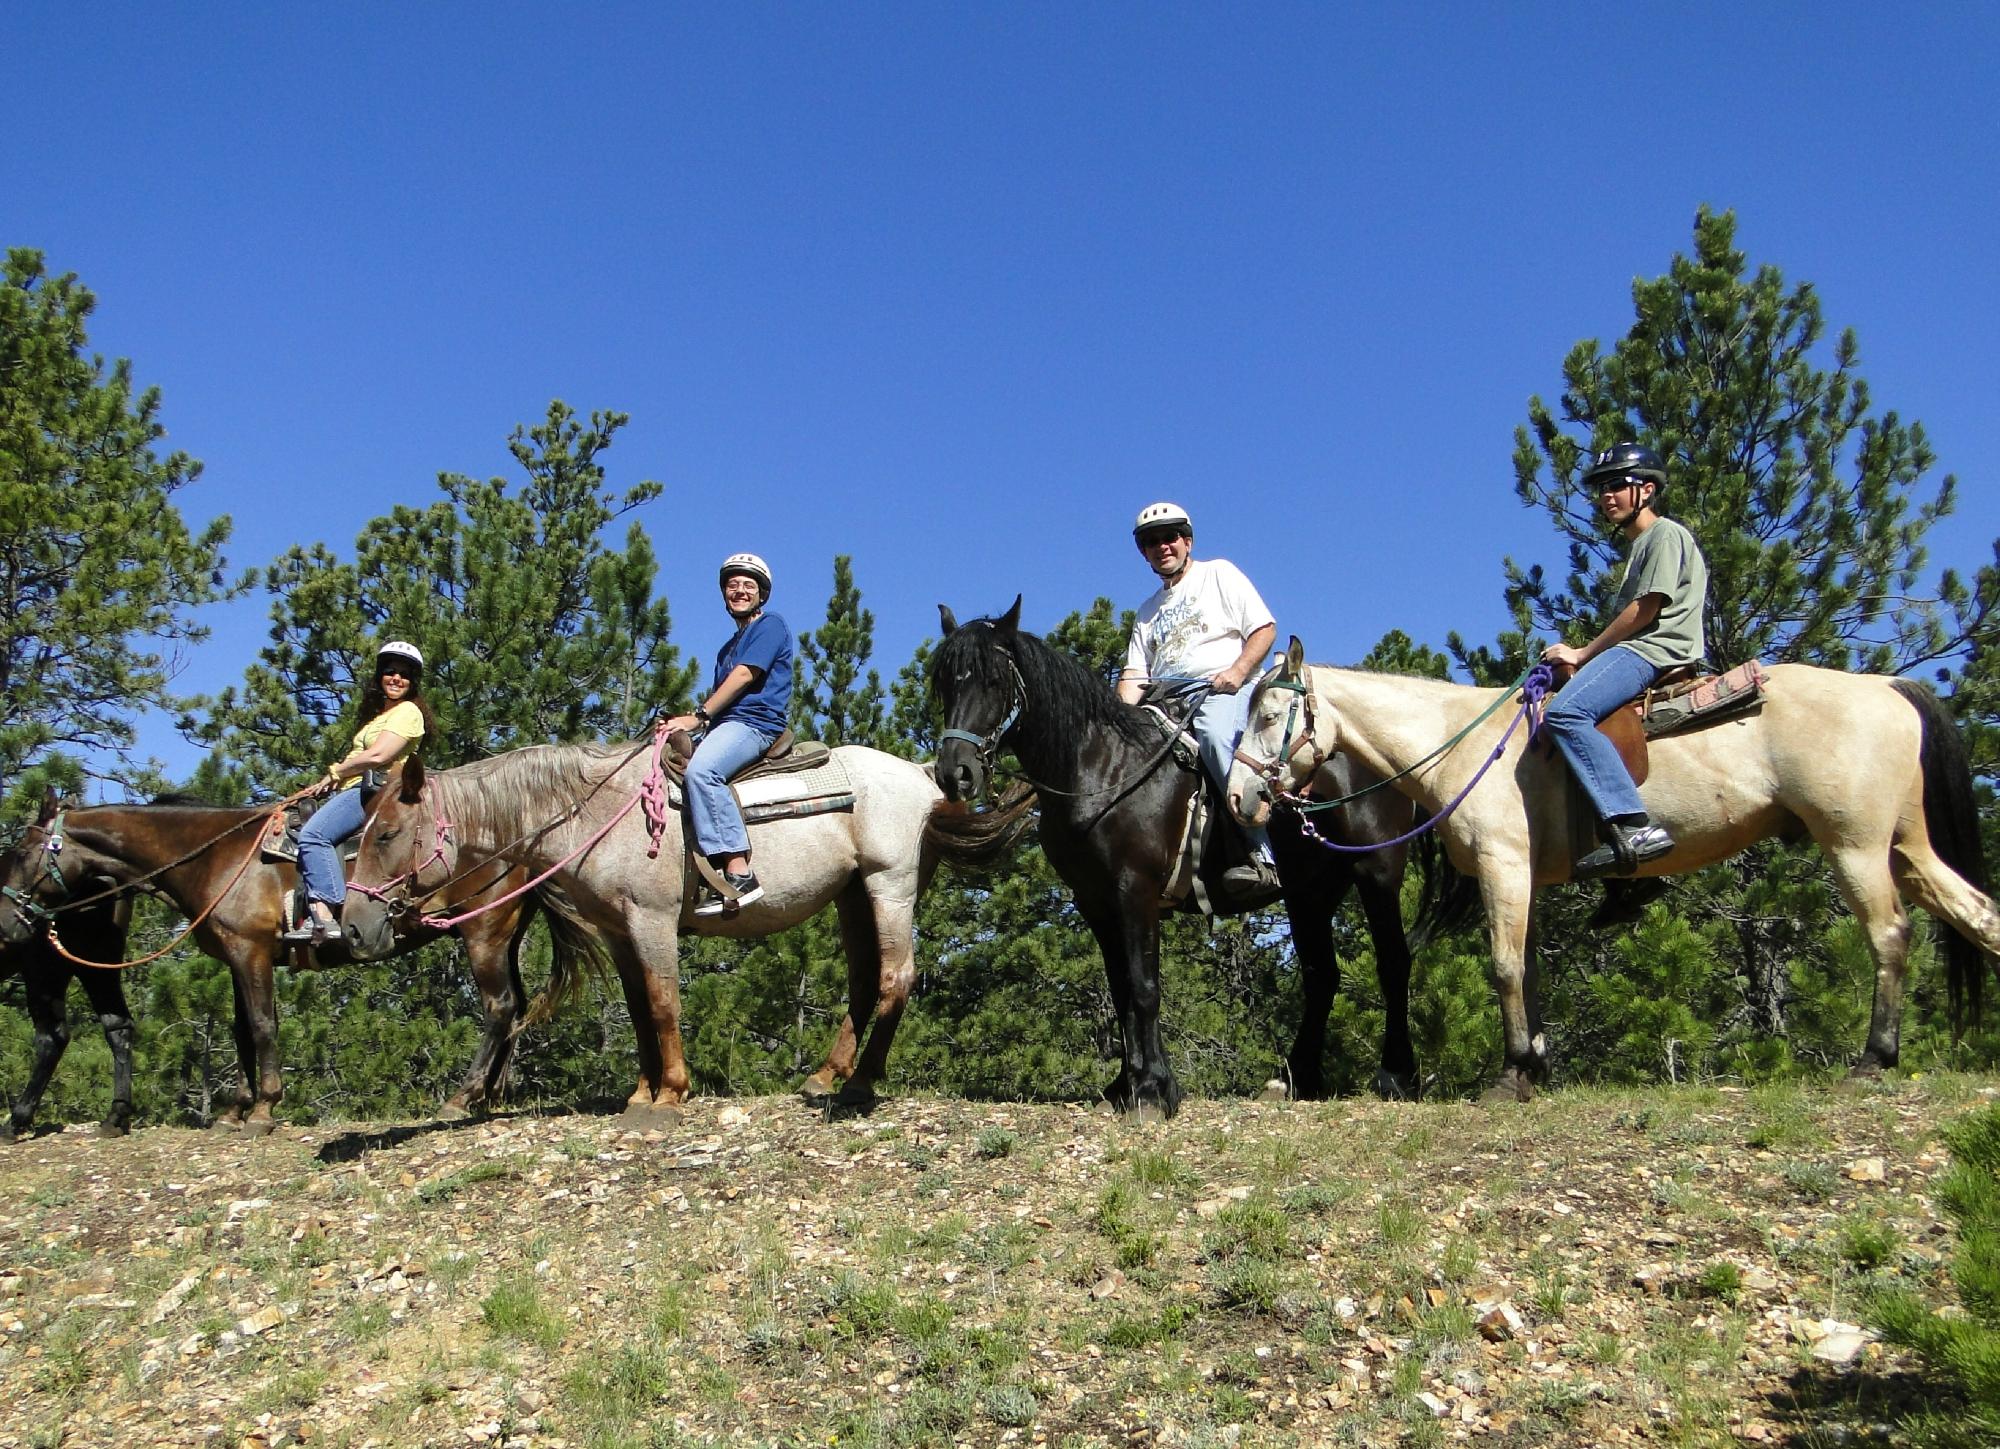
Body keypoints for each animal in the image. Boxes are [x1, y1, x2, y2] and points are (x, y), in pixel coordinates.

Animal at [1, 892, 135, 1144]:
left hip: (45, 967)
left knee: (52, 1039)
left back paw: (15, 1123)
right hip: (97, 963)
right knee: (118, 1027)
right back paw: (115, 1118)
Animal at [336, 736, 1024, 1120]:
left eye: (388, 834)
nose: (354, 927)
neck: (600, 811)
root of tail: (922, 776)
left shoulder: (652, 919)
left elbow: (665, 1002)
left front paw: (671, 1092)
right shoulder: (618, 930)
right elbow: (640, 1007)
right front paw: (641, 1093)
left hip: (889, 886)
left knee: (895, 978)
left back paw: (858, 1086)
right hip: (853, 896)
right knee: (863, 983)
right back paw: (828, 1077)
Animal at [928, 600, 1480, 1120]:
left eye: (995, 681)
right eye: (944, 684)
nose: (956, 773)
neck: (1102, 768)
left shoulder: (1135, 890)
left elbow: (1144, 987)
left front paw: (1153, 1091)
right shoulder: (1097, 903)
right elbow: (1121, 991)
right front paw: (1125, 1087)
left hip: (1376, 871)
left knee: (1393, 961)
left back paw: (1396, 1075)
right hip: (1310, 893)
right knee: (1322, 976)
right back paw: (1296, 1079)